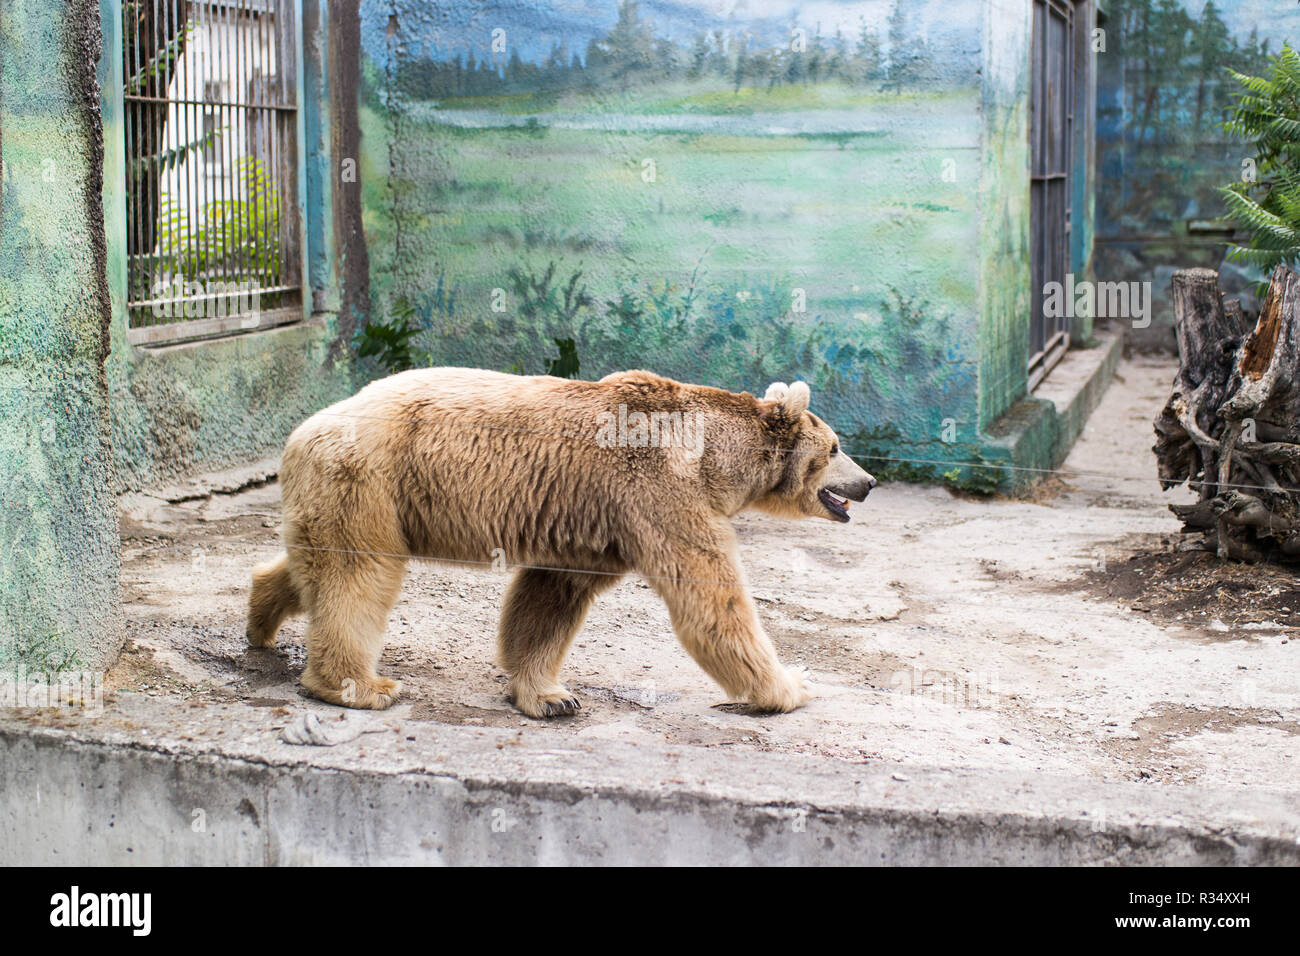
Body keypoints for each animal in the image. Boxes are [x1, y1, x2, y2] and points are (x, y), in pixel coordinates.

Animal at [245, 366, 873, 717]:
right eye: (837, 446)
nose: (868, 482)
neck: (714, 459)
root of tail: (300, 432)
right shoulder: (659, 492)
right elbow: (711, 599)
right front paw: (791, 685)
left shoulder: (590, 521)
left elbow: (549, 599)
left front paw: (550, 695)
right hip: (368, 481)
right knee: (358, 579)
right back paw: (361, 685)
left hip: (354, 499)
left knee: (314, 567)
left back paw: (260, 618)